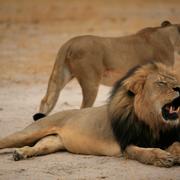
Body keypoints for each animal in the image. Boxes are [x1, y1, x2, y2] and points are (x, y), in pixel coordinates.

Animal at [0, 62, 180, 167]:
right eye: (161, 83)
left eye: (176, 80)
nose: (178, 87)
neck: (154, 123)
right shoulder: (126, 145)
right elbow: (144, 153)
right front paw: (162, 158)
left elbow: (176, 145)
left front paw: (175, 154)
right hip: (27, 133)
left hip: (52, 143)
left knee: (37, 147)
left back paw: (20, 153)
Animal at [32, 20, 180, 121]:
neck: (169, 36)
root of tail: (69, 43)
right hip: (90, 82)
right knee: (83, 108)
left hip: (60, 75)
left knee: (46, 101)